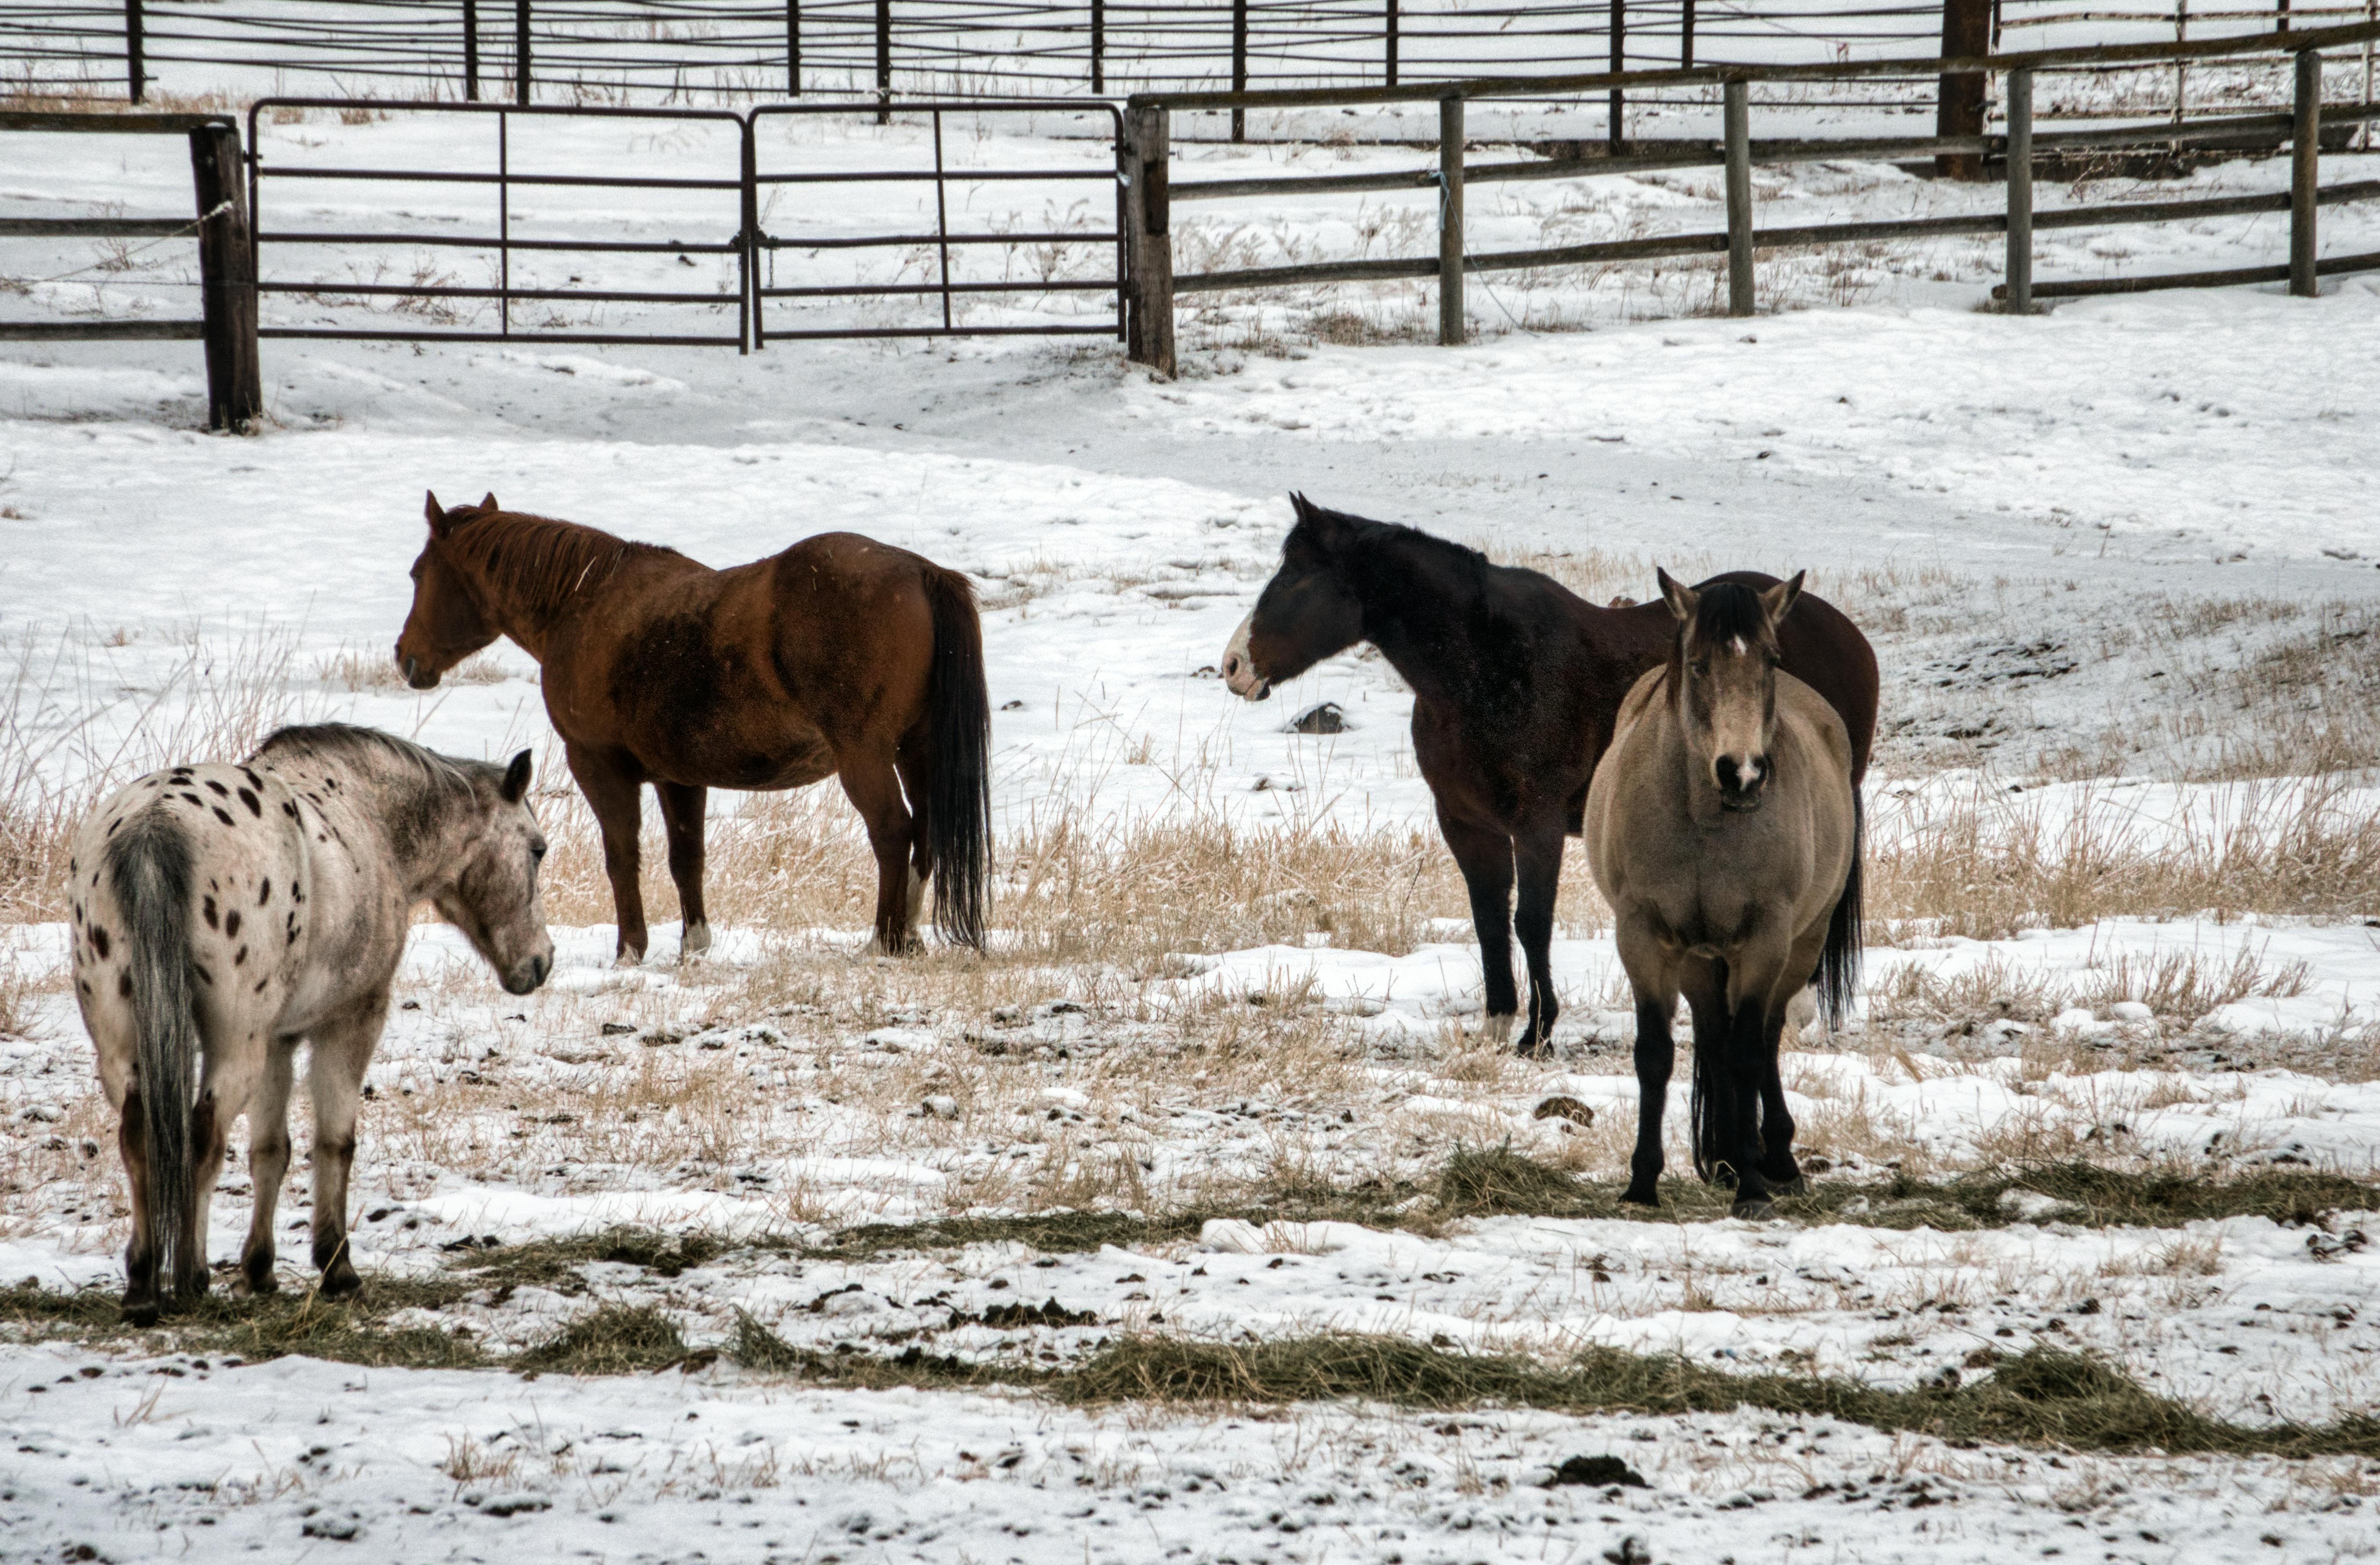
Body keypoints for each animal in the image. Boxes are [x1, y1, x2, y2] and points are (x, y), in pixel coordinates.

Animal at [66, 723, 552, 1313]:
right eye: (537, 850)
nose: (540, 962)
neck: (372, 817)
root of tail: (156, 825)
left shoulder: (279, 1041)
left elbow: (270, 1151)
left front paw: (259, 1270)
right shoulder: (350, 1023)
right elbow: (334, 1143)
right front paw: (336, 1267)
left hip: (126, 1047)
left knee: (139, 1136)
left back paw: (141, 1285)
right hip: (235, 1044)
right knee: (204, 1137)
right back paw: (190, 1278)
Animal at [395, 490, 990, 951]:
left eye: (419, 573)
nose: (406, 657)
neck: (584, 604)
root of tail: (919, 571)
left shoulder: (598, 766)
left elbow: (622, 858)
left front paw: (629, 951)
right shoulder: (678, 778)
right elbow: (687, 859)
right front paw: (694, 946)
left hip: (865, 757)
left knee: (893, 832)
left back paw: (883, 941)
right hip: (916, 753)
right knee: (925, 833)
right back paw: (908, 935)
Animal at [1228, 497, 1875, 1060]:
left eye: (1295, 578)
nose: (1233, 665)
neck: (1485, 668)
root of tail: (1850, 638)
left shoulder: (1535, 825)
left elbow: (1530, 923)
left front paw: (1538, 1034)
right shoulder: (1468, 824)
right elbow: (1490, 918)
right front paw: (1497, 1025)